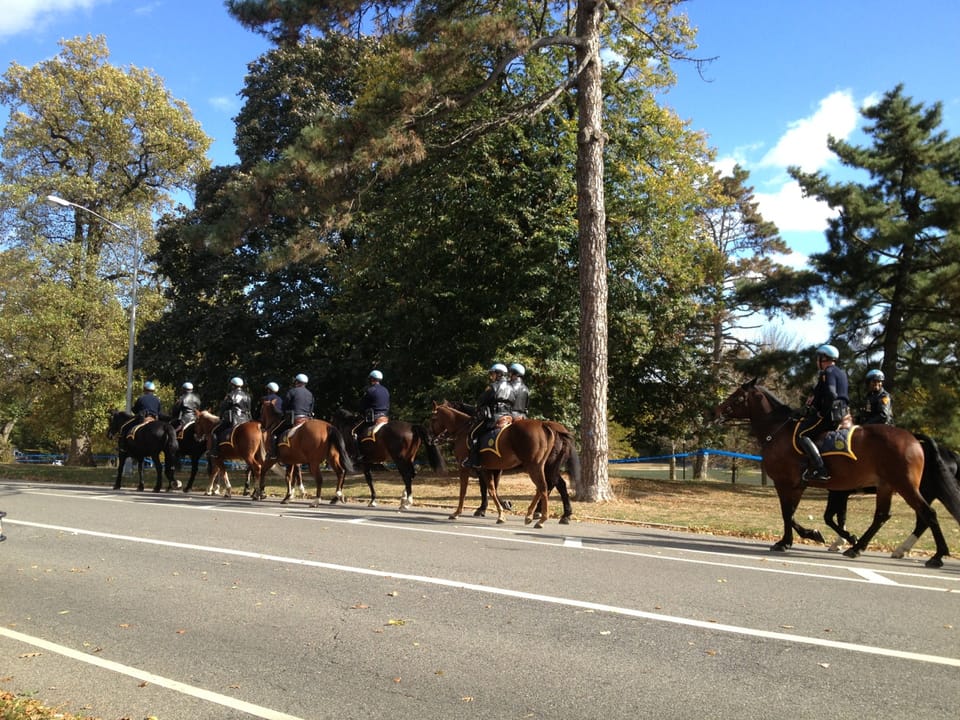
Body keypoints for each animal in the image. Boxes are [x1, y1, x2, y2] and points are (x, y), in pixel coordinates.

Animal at [430, 400, 560, 528]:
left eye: (433, 418)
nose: (431, 439)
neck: (463, 430)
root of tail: (543, 425)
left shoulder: (464, 468)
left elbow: (464, 490)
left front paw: (457, 513)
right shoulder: (487, 469)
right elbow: (492, 490)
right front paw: (501, 512)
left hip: (533, 466)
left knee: (542, 487)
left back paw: (541, 519)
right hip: (537, 467)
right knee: (540, 488)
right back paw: (529, 516)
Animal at [712, 376, 960, 568]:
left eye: (737, 397)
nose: (717, 411)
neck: (779, 430)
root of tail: (914, 439)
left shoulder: (788, 484)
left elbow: (789, 514)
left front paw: (790, 540)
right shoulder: (809, 487)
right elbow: (806, 515)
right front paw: (826, 536)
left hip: (907, 486)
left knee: (927, 515)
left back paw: (935, 556)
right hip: (887, 486)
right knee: (883, 516)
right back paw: (858, 547)